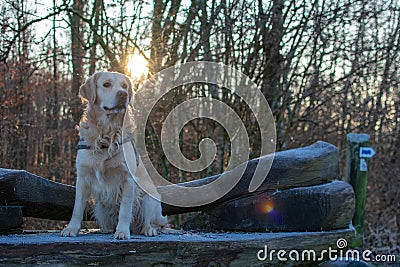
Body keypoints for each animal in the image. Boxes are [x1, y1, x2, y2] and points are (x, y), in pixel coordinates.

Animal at [61, 71, 168, 241]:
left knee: (151, 221)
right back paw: (106, 229)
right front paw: (71, 228)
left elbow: (125, 209)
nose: (123, 94)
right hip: (100, 207)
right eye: (106, 84)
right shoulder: (82, 178)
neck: (106, 136)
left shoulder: (128, 179)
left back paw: (148, 229)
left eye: (124, 86)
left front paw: (122, 231)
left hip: (149, 199)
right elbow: (77, 208)